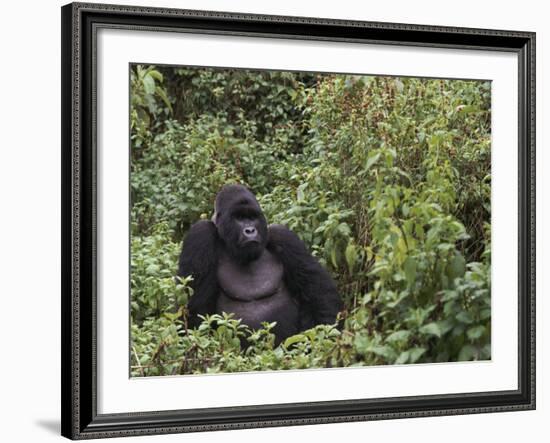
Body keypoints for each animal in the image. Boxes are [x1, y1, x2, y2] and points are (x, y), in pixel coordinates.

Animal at [177, 184, 342, 344]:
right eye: (239, 218)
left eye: (252, 217)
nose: (250, 230)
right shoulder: (200, 235)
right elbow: (194, 310)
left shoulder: (283, 236)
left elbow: (319, 293)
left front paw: (326, 338)